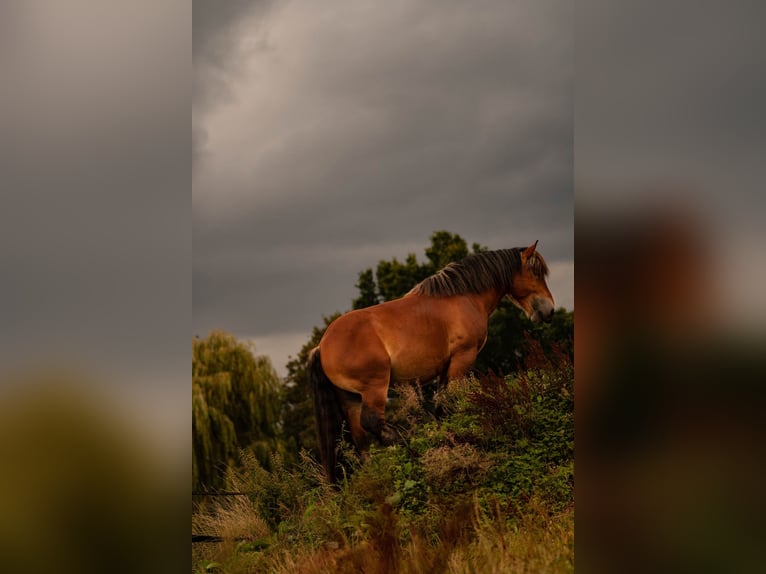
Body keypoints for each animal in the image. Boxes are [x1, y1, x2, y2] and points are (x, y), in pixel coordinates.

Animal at [308, 241, 556, 484]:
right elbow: (450, 401)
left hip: (350, 397)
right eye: (535, 272)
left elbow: (442, 405)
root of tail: (321, 347)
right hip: (374, 387)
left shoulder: (444, 368)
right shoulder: (462, 358)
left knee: (361, 438)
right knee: (372, 422)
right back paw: (406, 445)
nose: (550, 310)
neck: (463, 297)